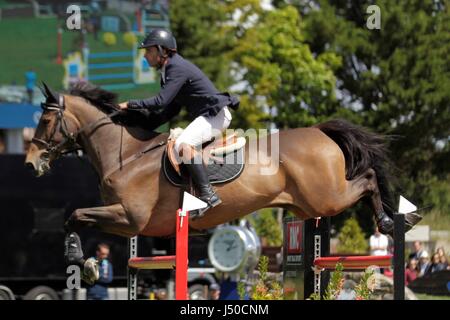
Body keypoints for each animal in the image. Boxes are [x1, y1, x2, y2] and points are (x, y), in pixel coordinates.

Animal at [25, 83, 422, 282]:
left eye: (45, 120)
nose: (31, 163)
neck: (127, 155)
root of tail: (320, 132)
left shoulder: (128, 217)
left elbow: (74, 215)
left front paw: (82, 262)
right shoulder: (128, 222)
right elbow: (76, 217)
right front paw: (88, 264)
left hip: (328, 197)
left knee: (367, 178)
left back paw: (393, 220)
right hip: (310, 204)